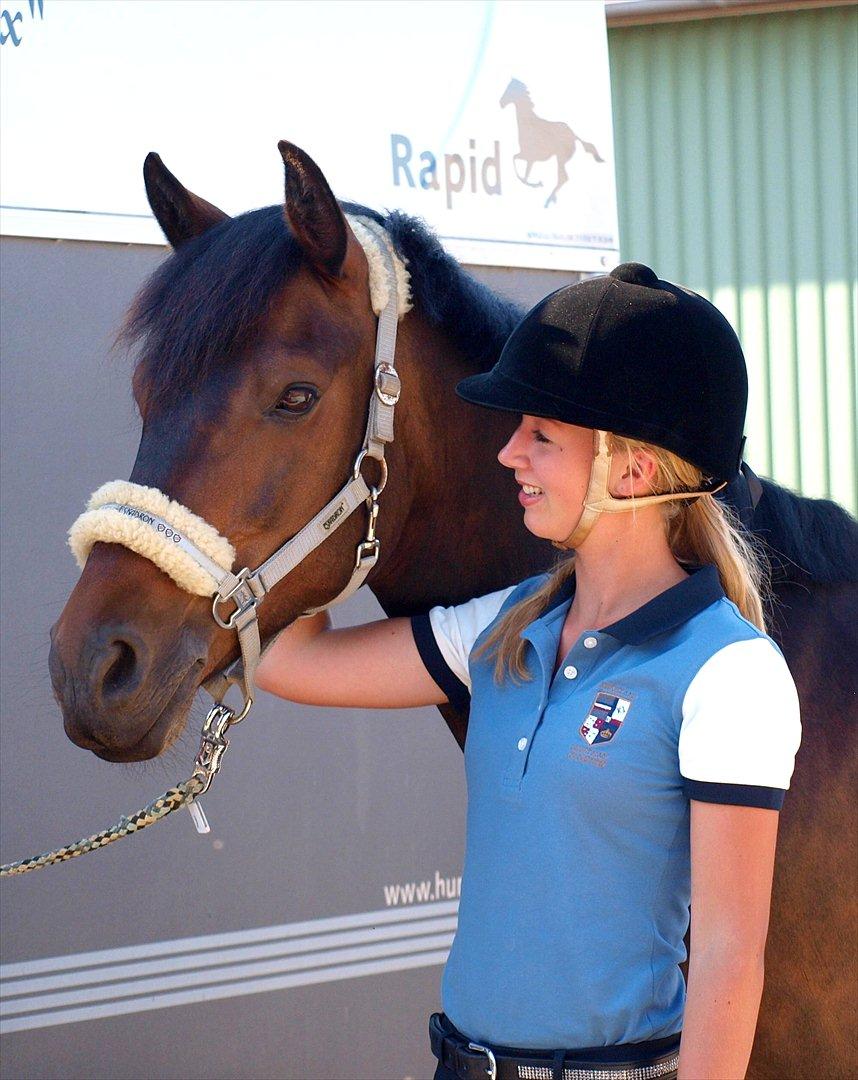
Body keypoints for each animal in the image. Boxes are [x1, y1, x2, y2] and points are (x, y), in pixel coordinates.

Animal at [500, 78, 605, 208]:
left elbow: (515, 161)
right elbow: (524, 172)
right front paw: (535, 184)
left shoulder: (529, 155)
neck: (528, 123)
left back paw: (548, 201)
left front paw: (536, 184)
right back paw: (552, 198)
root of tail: (573, 135)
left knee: (563, 177)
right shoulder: (530, 159)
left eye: (510, 89)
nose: (501, 102)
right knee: (563, 178)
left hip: (560, 159)